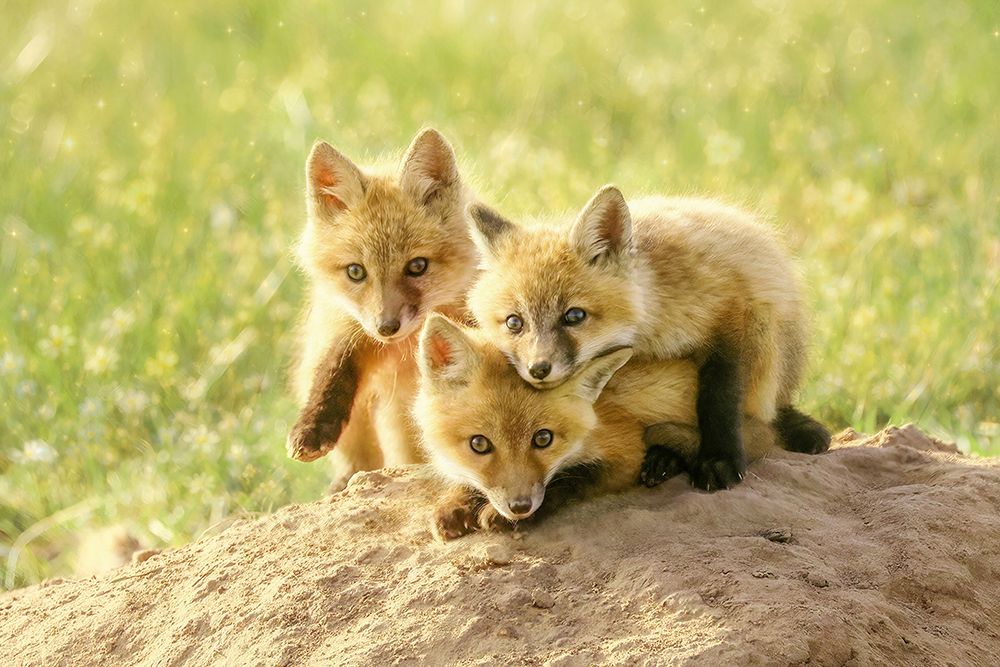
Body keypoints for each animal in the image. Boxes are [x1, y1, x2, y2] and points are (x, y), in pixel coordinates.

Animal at [286, 129, 479, 490]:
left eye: (417, 266)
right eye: (355, 272)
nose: (387, 327)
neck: (403, 351)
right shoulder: (347, 328)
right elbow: (334, 367)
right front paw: (313, 426)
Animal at [414, 315, 779, 540]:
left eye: (543, 439)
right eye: (479, 444)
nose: (520, 507)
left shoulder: (625, 448)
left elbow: (576, 479)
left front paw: (506, 515)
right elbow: (469, 480)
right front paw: (455, 504)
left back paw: (665, 460)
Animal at [466, 186, 830, 492]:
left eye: (574, 316)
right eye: (514, 323)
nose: (538, 369)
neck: (650, 324)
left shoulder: (730, 312)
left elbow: (719, 400)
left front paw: (720, 459)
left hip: (765, 331)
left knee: (766, 418)